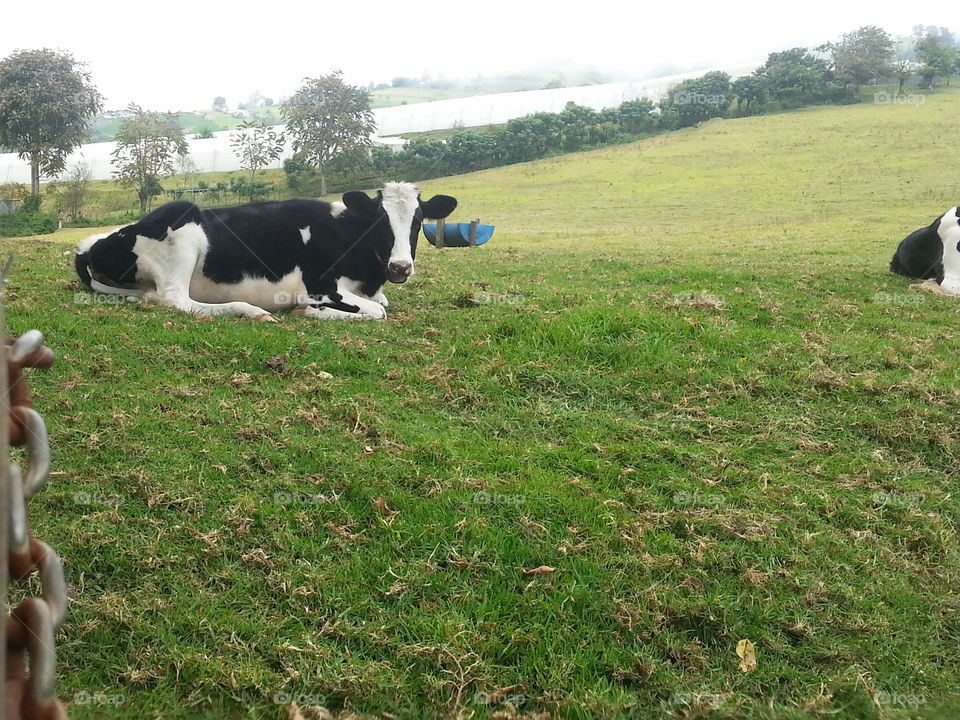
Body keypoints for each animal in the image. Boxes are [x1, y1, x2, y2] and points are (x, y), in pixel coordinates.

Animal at [75, 183, 458, 320]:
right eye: (379, 221)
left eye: (418, 221)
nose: (400, 267)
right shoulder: (320, 286)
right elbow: (377, 312)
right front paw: (311, 312)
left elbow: (382, 304)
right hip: (183, 229)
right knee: (175, 299)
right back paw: (250, 311)